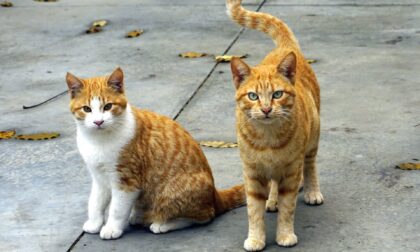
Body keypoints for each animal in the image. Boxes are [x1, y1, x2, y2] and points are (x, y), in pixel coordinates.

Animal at [65, 67, 246, 240]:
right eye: (87, 109)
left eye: (108, 106)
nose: (98, 122)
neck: (99, 140)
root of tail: (215, 195)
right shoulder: (99, 178)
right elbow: (95, 203)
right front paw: (95, 223)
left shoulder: (127, 181)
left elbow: (117, 209)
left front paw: (111, 228)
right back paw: (139, 215)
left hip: (171, 195)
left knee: (204, 216)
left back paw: (163, 224)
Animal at [226, 0, 324, 251]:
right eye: (253, 96)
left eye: (277, 94)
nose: (266, 109)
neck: (267, 138)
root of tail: (285, 49)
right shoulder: (252, 173)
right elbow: (254, 211)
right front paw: (256, 238)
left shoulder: (291, 171)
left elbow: (288, 209)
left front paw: (285, 235)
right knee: (272, 185)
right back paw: (271, 200)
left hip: (313, 139)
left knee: (310, 166)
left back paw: (312, 191)